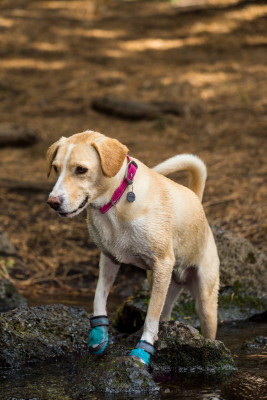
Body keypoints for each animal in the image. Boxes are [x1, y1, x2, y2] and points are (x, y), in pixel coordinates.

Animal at [46, 131, 220, 366]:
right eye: (55, 168)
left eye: (81, 169)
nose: (52, 202)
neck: (116, 202)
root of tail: (197, 201)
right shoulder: (109, 258)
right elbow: (99, 294)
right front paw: (99, 333)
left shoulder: (162, 263)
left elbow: (150, 317)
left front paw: (143, 350)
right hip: (164, 285)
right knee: (164, 314)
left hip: (205, 301)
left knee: (203, 325)